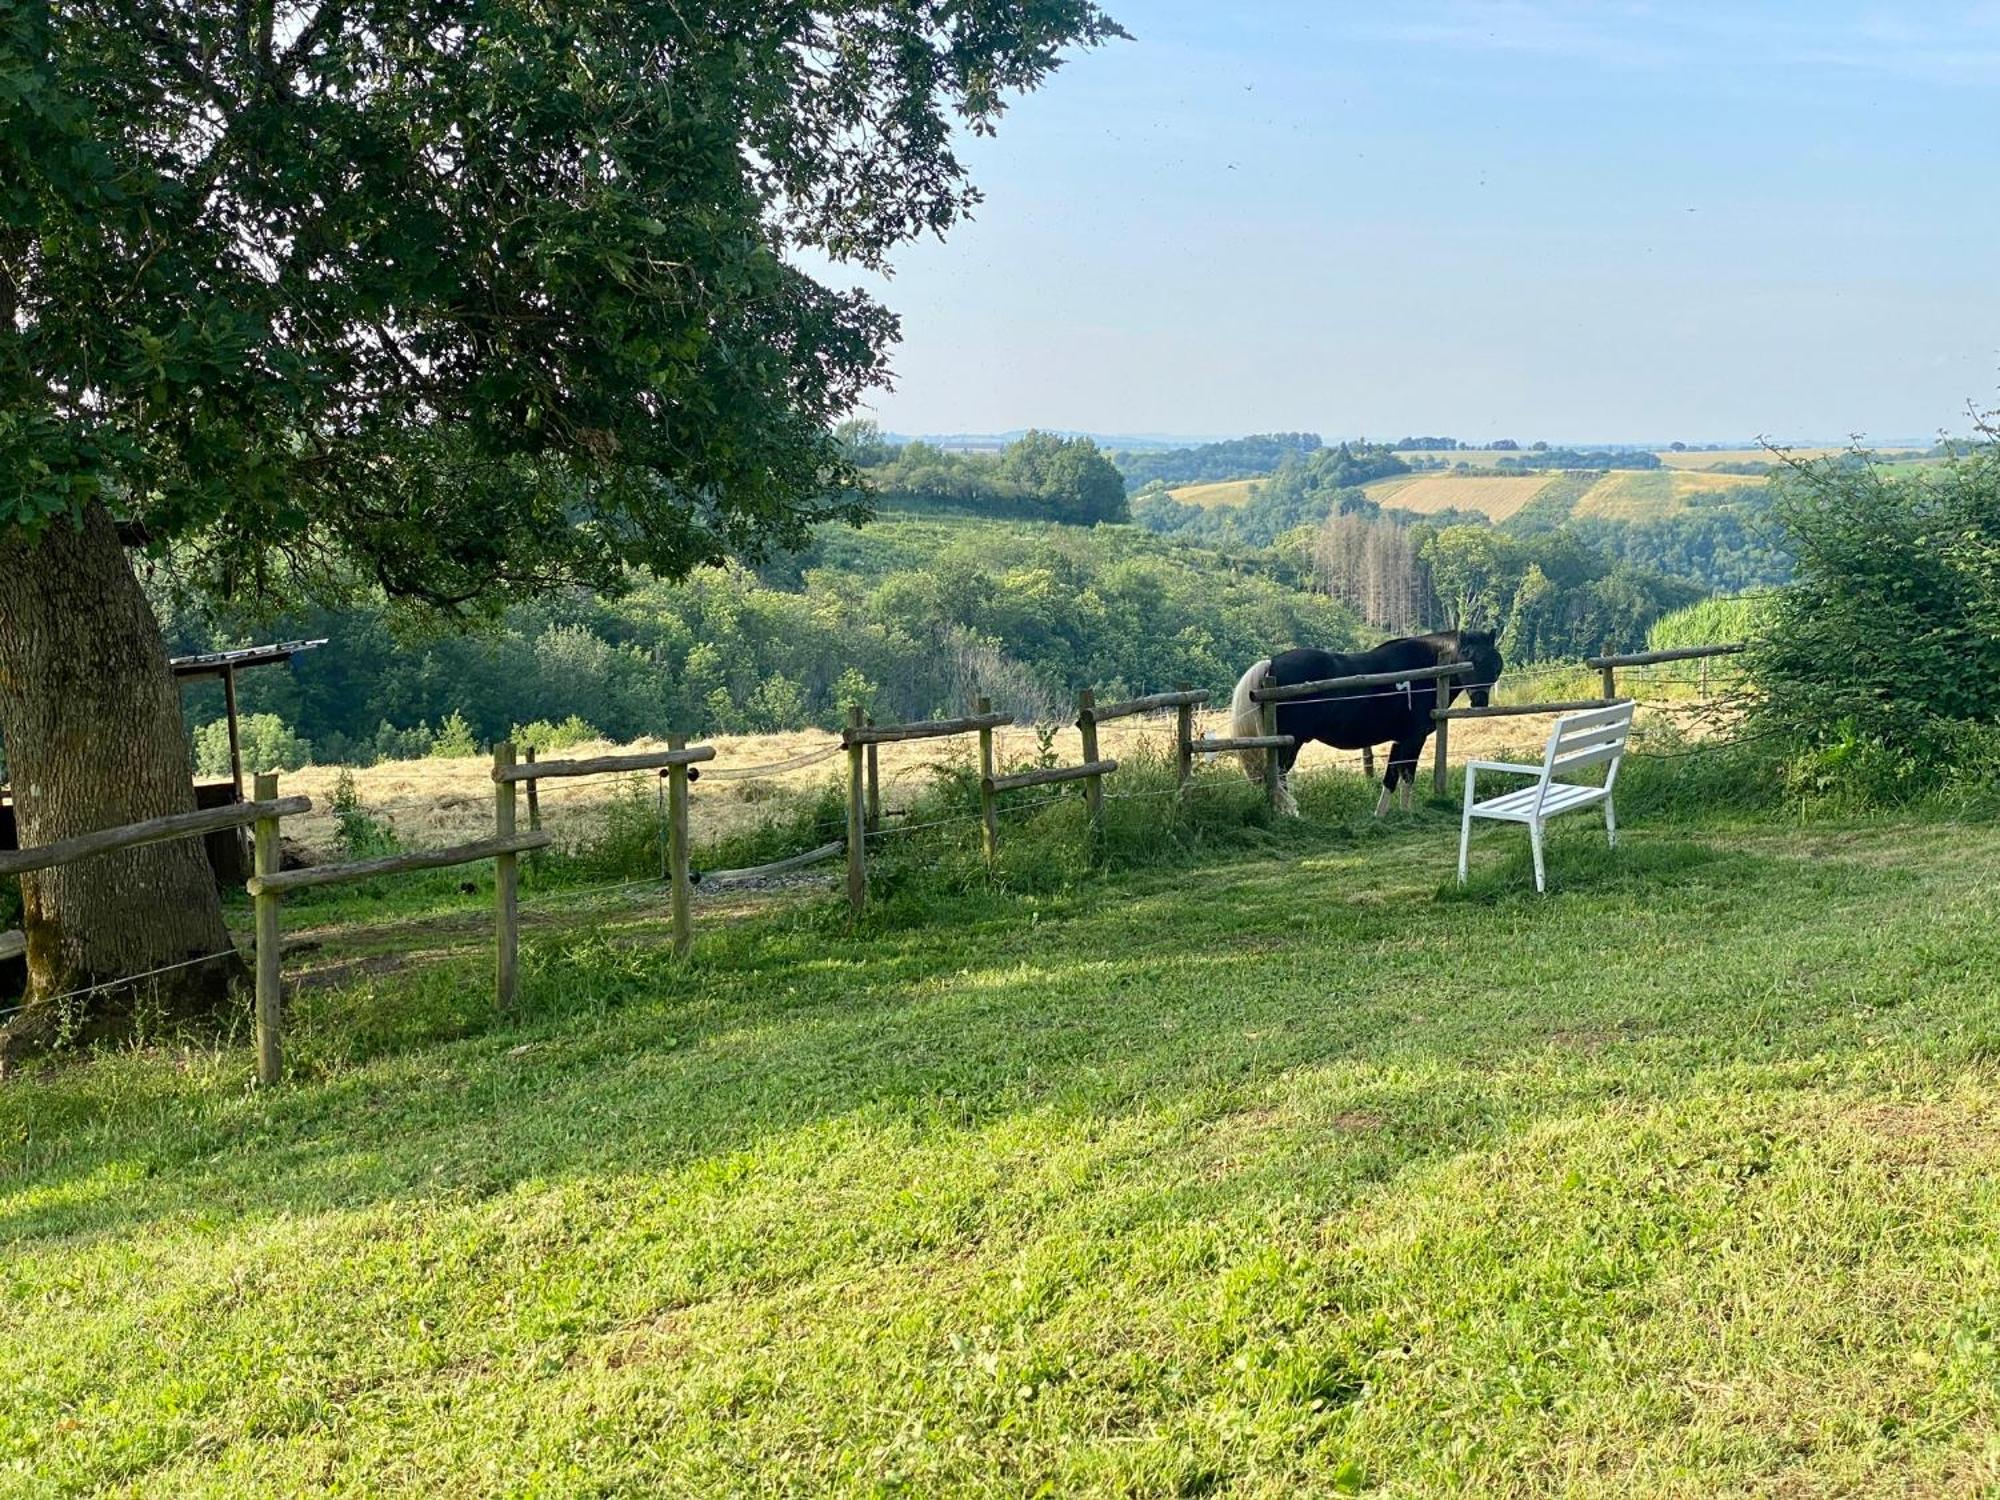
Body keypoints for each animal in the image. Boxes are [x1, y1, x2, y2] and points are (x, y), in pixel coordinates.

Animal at [1224, 636, 1504, 824]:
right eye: (1470, 658)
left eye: (1495, 663)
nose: (1480, 701)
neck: (1429, 671)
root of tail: (1271, 664)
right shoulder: (1413, 739)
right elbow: (1407, 774)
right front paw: (1408, 813)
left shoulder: (1400, 740)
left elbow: (1391, 776)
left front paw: (1380, 815)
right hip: (1289, 743)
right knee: (1279, 777)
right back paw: (1289, 814)